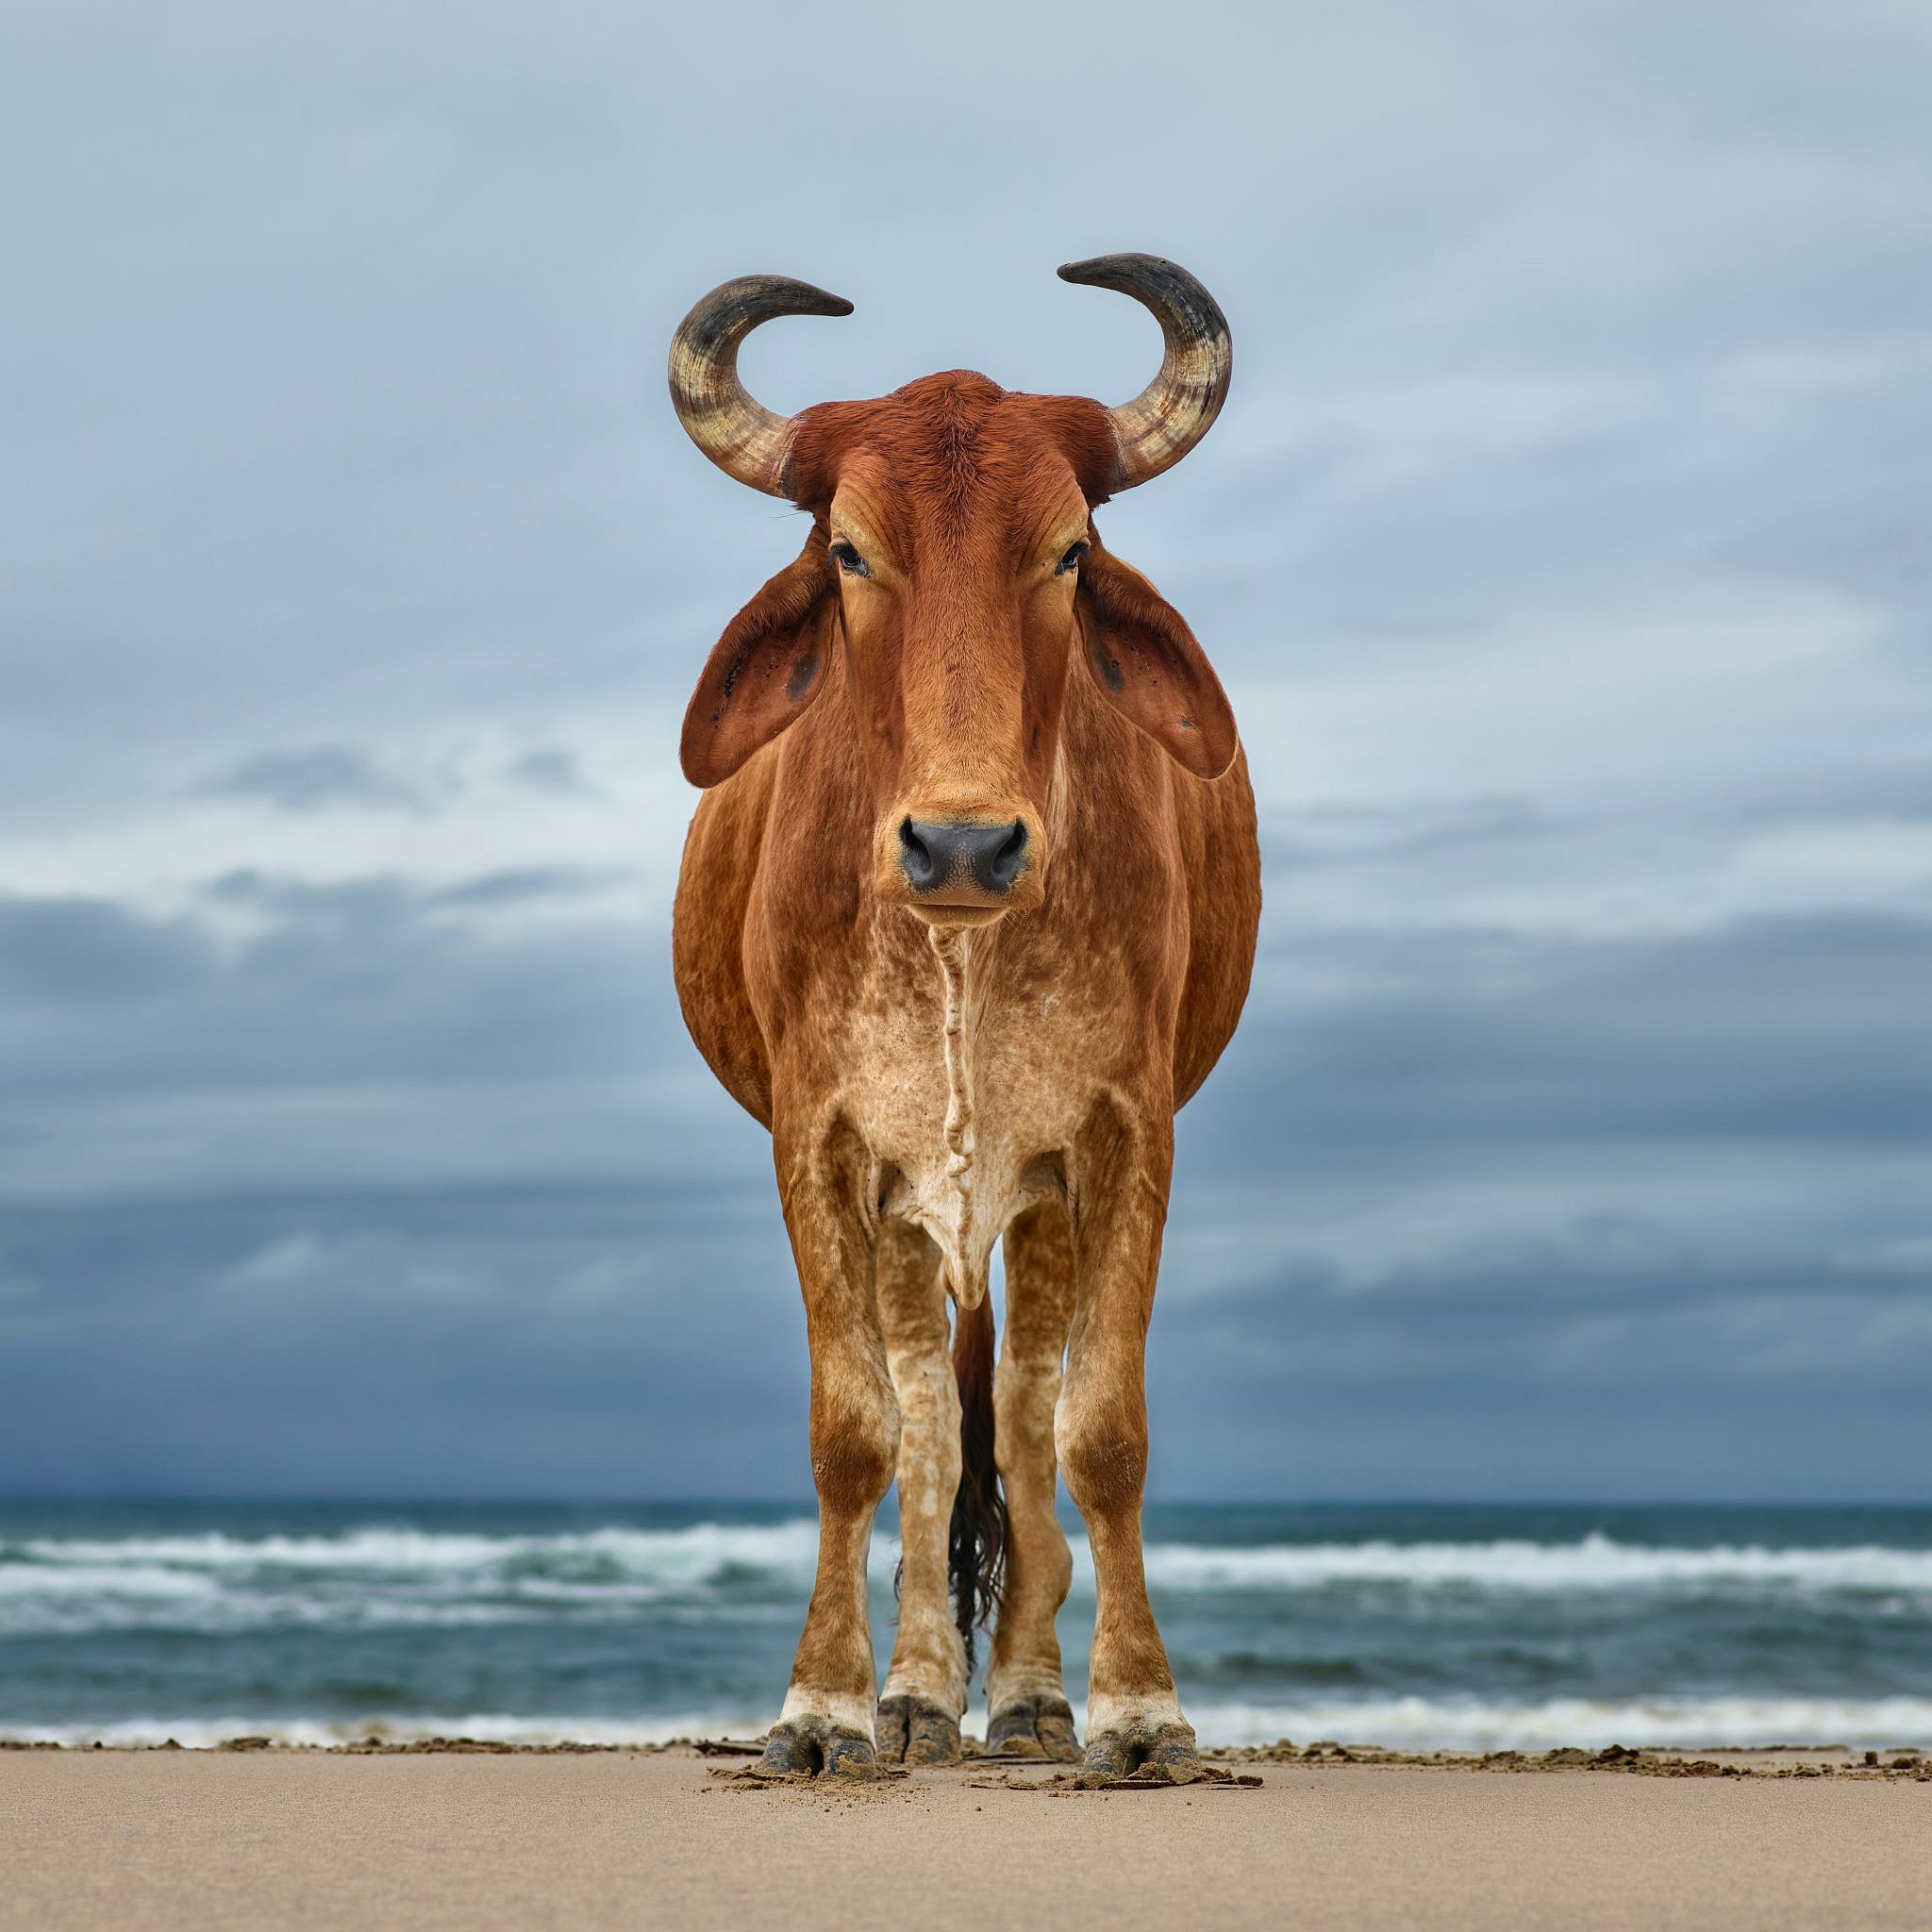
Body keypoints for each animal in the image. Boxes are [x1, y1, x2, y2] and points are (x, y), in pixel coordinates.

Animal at [672, 257, 1259, 1777]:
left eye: (1066, 552)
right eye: (848, 553)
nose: (962, 844)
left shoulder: (1123, 1136)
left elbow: (1099, 1432)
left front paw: (1138, 1707)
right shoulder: (822, 1146)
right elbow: (858, 1436)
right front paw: (822, 1704)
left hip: (1034, 1204)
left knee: (1026, 1419)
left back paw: (1031, 1697)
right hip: (907, 1215)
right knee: (937, 1428)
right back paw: (921, 1693)